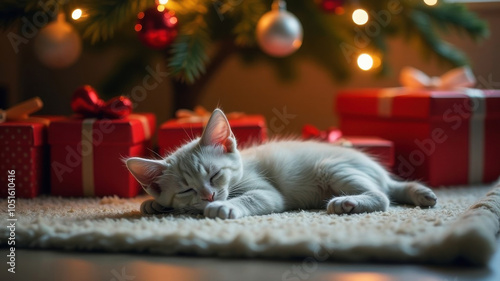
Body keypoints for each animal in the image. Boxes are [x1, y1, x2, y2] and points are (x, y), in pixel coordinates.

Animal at [126, 109, 438, 219]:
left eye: (215, 175)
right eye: (187, 190)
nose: (210, 195)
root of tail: (378, 171)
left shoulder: (267, 191)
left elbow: (258, 198)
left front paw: (225, 207)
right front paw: (152, 204)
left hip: (331, 166)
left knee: (383, 196)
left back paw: (347, 202)